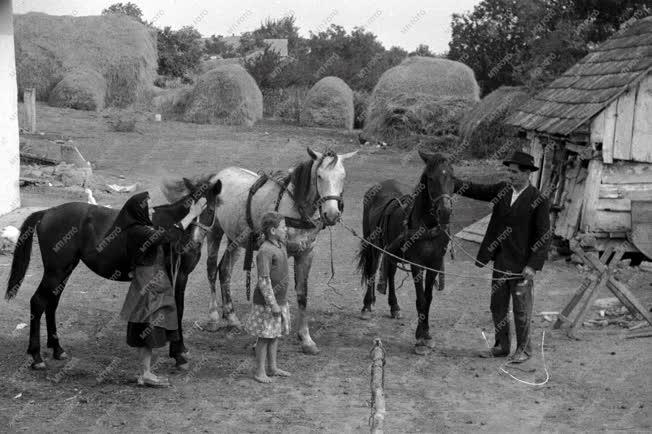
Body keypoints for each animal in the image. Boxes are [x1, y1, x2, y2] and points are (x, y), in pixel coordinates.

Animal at [3, 175, 224, 368]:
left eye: (211, 209)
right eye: (193, 207)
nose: (194, 241)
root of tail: (47, 212)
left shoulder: (181, 276)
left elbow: (179, 308)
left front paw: (180, 349)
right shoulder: (175, 275)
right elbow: (177, 310)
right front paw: (178, 354)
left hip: (63, 271)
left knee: (51, 304)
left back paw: (57, 349)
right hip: (55, 272)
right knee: (38, 302)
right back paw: (36, 356)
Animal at [206, 147, 356, 354]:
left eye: (343, 176)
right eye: (319, 176)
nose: (332, 215)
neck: (295, 208)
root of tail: (219, 174)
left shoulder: (306, 253)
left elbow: (302, 294)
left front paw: (306, 339)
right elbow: (272, 289)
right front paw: (261, 339)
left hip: (235, 239)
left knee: (225, 270)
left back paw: (232, 318)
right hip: (214, 231)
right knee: (212, 269)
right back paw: (213, 317)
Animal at [356, 151, 454, 354]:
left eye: (452, 177)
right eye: (430, 178)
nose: (445, 211)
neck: (427, 228)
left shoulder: (433, 264)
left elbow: (428, 298)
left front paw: (427, 334)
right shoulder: (417, 264)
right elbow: (421, 300)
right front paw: (420, 339)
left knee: (391, 273)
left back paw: (394, 306)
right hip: (373, 244)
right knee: (372, 270)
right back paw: (367, 305)